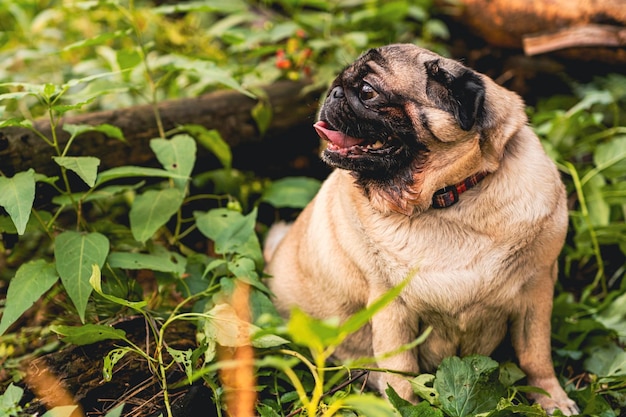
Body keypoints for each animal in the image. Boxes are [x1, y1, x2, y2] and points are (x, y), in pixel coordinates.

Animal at [262, 44, 576, 414]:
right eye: (339, 83)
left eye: (367, 91)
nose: (333, 93)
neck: (446, 198)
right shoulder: (391, 310)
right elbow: (400, 375)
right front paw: (403, 406)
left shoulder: (536, 291)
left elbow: (535, 355)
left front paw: (552, 398)